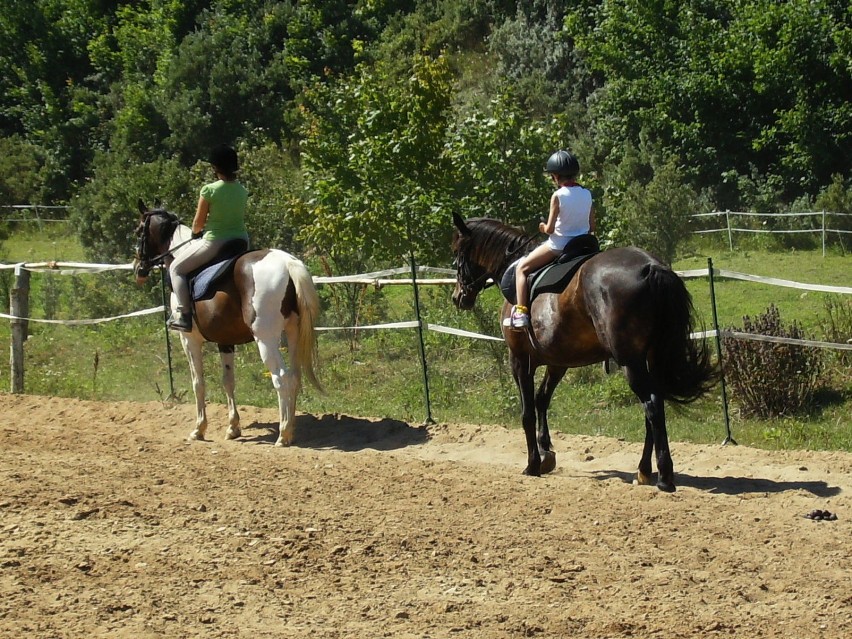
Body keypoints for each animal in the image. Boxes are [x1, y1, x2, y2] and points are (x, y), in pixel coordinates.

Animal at [135, 202, 322, 448]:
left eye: (139, 231)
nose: (139, 269)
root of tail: (286, 262)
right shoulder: (225, 341)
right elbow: (228, 381)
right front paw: (233, 428)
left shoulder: (189, 340)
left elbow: (198, 383)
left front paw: (199, 429)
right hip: (293, 332)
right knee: (294, 377)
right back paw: (290, 429)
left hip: (266, 340)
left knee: (281, 378)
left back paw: (283, 435)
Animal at [450, 212, 716, 492]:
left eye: (457, 253)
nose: (458, 296)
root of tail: (651, 267)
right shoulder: (558, 361)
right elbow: (542, 400)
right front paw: (546, 454)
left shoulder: (520, 359)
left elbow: (527, 411)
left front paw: (533, 464)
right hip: (651, 358)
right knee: (653, 408)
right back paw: (644, 471)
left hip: (630, 362)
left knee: (652, 405)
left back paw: (664, 476)